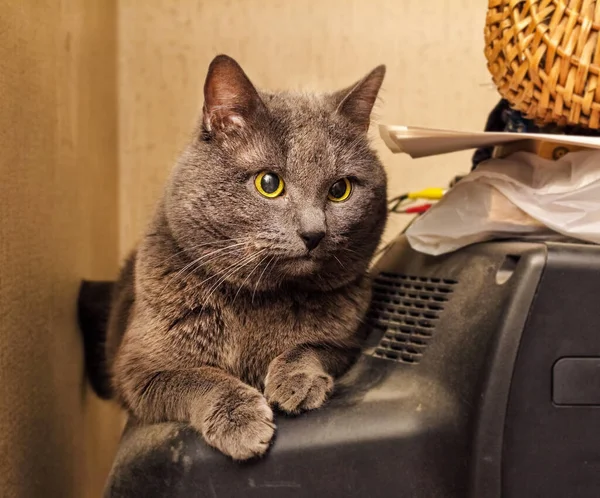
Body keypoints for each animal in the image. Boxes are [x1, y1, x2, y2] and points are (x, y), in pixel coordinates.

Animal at [104, 54, 384, 460]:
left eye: (340, 189)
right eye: (269, 184)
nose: (314, 233)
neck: (259, 300)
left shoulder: (349, 340)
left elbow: (311, 347)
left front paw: (296, 381)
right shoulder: (138, 370)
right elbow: (197, 377)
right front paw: (241, 421)